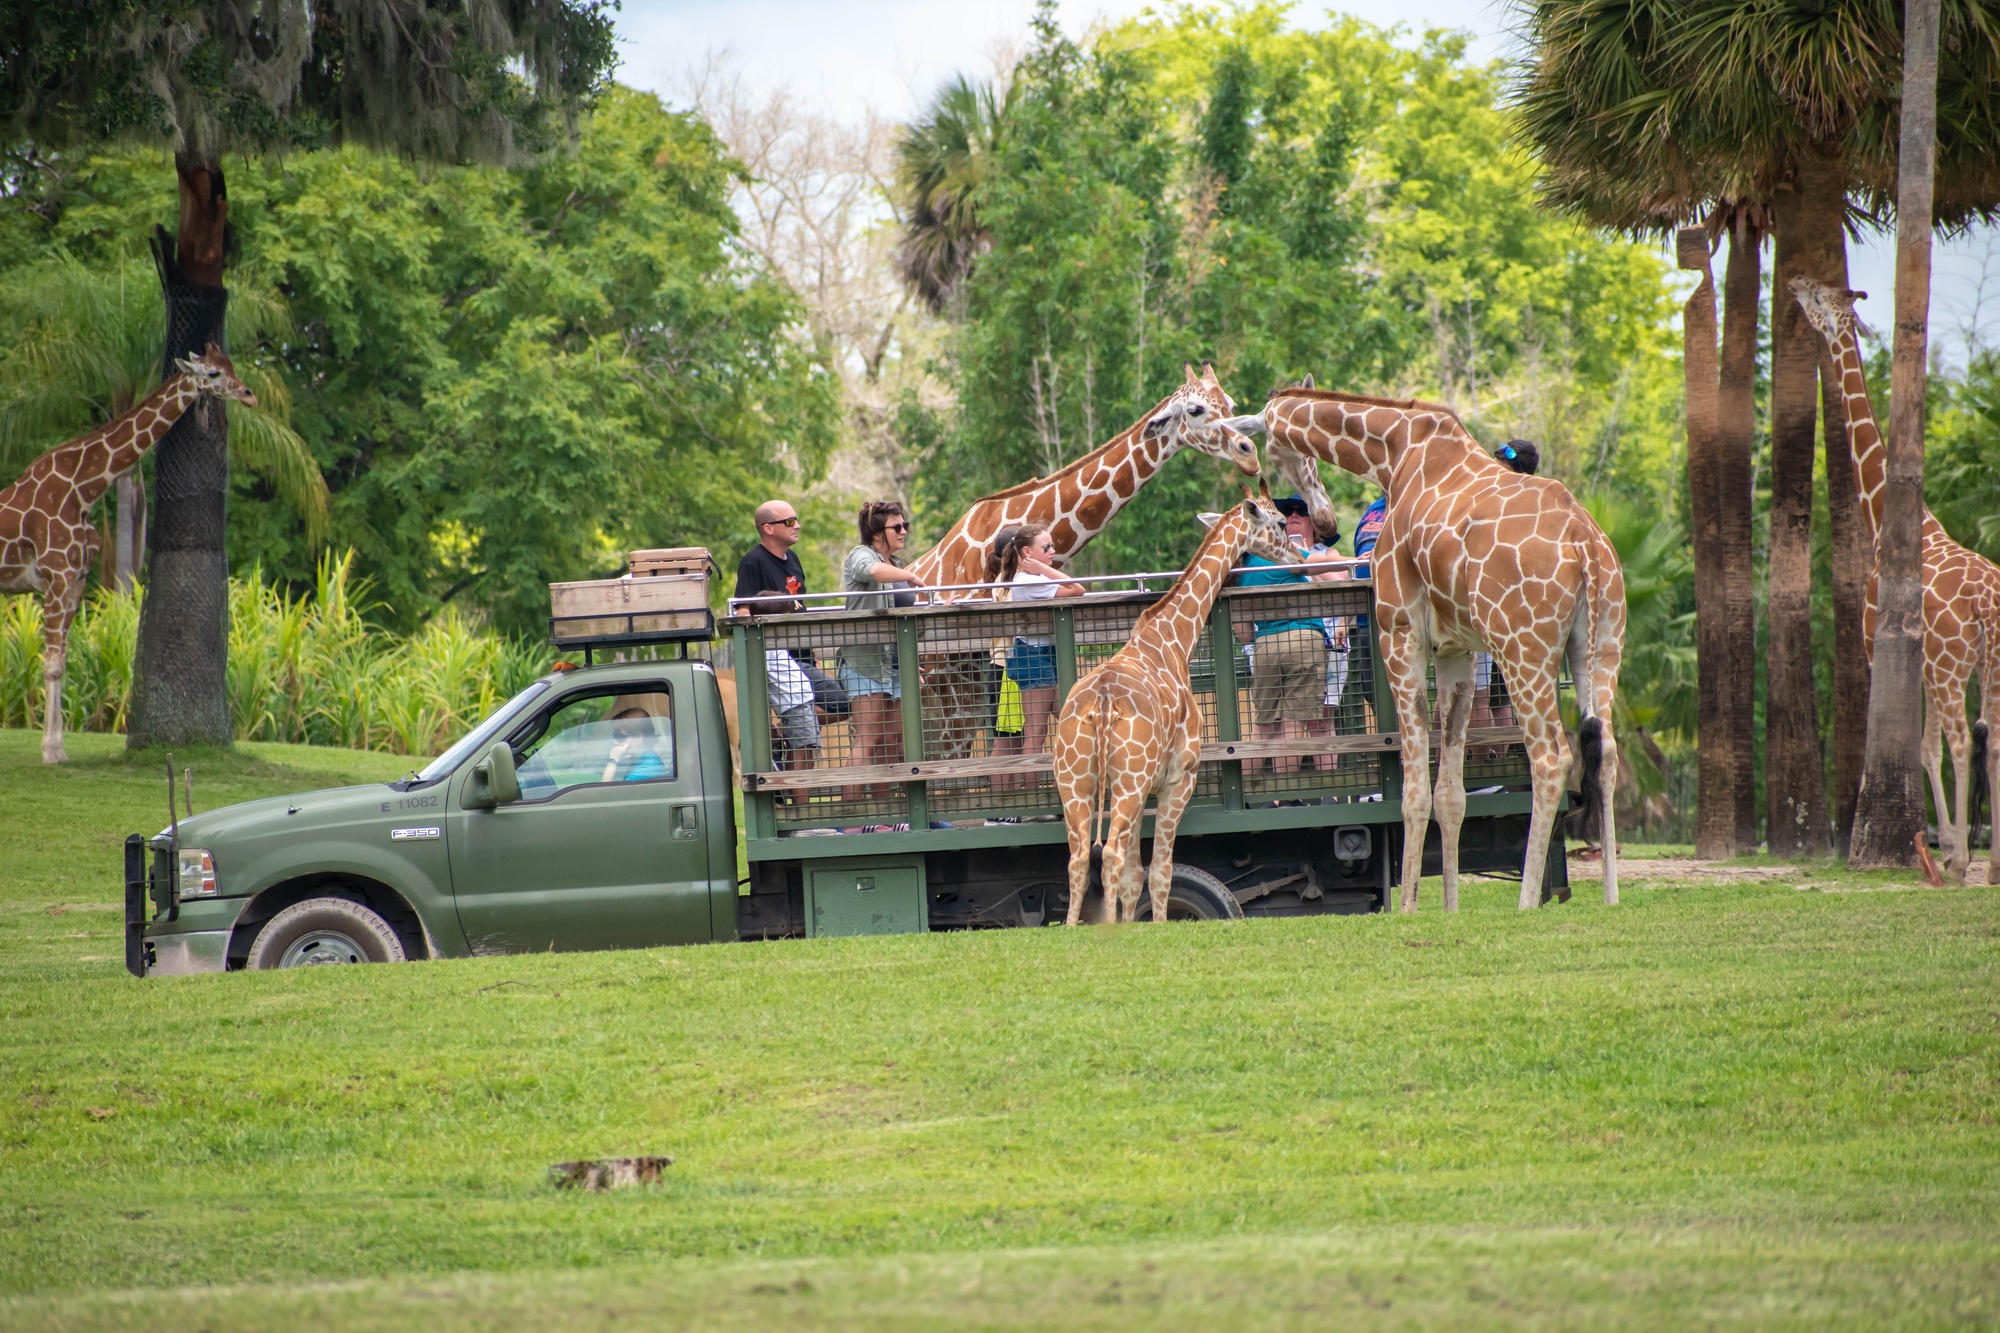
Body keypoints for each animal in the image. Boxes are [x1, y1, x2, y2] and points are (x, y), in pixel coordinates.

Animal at [0, 344, 258, 756]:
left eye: (231, 365)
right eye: (214, 373)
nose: (249, 395)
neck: (85, 488)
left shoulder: (76, 579)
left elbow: (62, 661)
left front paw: (59, 747)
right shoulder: (56, 576)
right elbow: (52, 662)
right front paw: (51, 751)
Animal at [1056, 490, 1304, 924]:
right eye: (1279, 523)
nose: (1299, 556)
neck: (1172, 640)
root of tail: (1102, 704)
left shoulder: (1144, 789)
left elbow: (1134, 876)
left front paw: (1131, 926)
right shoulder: (1178, 778)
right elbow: (1160, 871)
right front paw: (1155, 925)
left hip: (1078, 782)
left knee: (1080, 859)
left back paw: (1072, 929)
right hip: (1127, 782)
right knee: (1110, 855)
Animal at [1224, 384, 1632, 904]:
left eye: (1275, 450)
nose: (1324, 518)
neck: (1397, 452)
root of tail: (1585, 544)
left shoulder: (1400, 634)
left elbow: (1414, 790)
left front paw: (1407, 907)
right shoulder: (1458, 649)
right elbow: (1450, 794)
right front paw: (1450, 907)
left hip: (1523, 647)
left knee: (1550, 757)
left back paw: (1526, 903)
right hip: (1599, 644)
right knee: (1606, 751)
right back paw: (1611, 899)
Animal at [1792, 274, 1992, 876]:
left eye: (1820, 300)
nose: (1794, 281)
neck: (1888, 518)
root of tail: (1985, 599)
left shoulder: (1876, 646)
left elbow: (1919, 745)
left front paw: (1946, 848)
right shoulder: (1921, 667)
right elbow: (1923, 746)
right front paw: (1942, 842)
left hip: (1953, 665)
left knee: (1962, 739)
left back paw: (1964, 861)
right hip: (1982, 664)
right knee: (1989, 736)